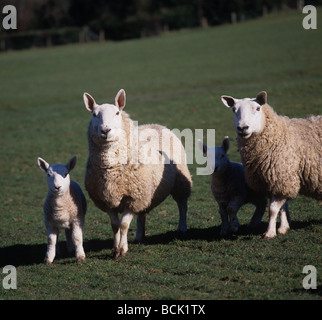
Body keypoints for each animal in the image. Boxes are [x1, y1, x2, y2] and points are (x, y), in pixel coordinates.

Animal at [83, 89, 192, 258]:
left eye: (117, 112)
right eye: (94, 114)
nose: (105, 130)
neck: (111, 169)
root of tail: (155, 124)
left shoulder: (132, 197)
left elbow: (124, 225)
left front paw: (122, 249)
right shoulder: (107, 199)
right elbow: (115, 225)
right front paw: (114, 249)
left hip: (179, 183)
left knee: (182, 205)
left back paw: (182, 228)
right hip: (146, 192)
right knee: (142, 213)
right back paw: (139, 236)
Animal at [221, 90, 322, 238]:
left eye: (258, 108)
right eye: (234, 110)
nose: (243, 128)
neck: (277, 134)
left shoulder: (282, 177)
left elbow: (273, 209)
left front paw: (270, 233)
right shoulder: (273, 181)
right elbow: (283, 207)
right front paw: (283, 228)